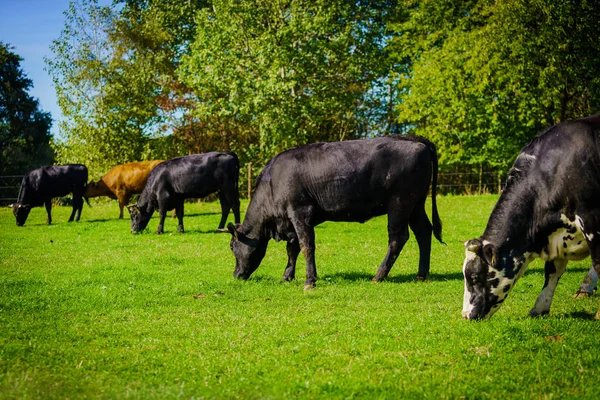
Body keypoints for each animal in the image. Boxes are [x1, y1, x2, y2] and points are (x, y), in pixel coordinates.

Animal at [227, 136, 442, 290]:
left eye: (232, 247)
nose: (236, 275)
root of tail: (415, 139)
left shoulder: (300, 212)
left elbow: (306, 246)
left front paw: (309, 281)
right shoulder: (291, 221)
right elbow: (292, 249)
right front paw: (287, 276)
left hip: (400, 203)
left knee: (398, 237)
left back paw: (379, 276)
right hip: (416, 204)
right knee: (423, 231)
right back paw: (421, 275)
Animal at [462, 114, 600, 320]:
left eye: (474, 277)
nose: (465, 315)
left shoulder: (592, 219)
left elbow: (598, 263)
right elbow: (552, 271)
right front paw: (540, 307)